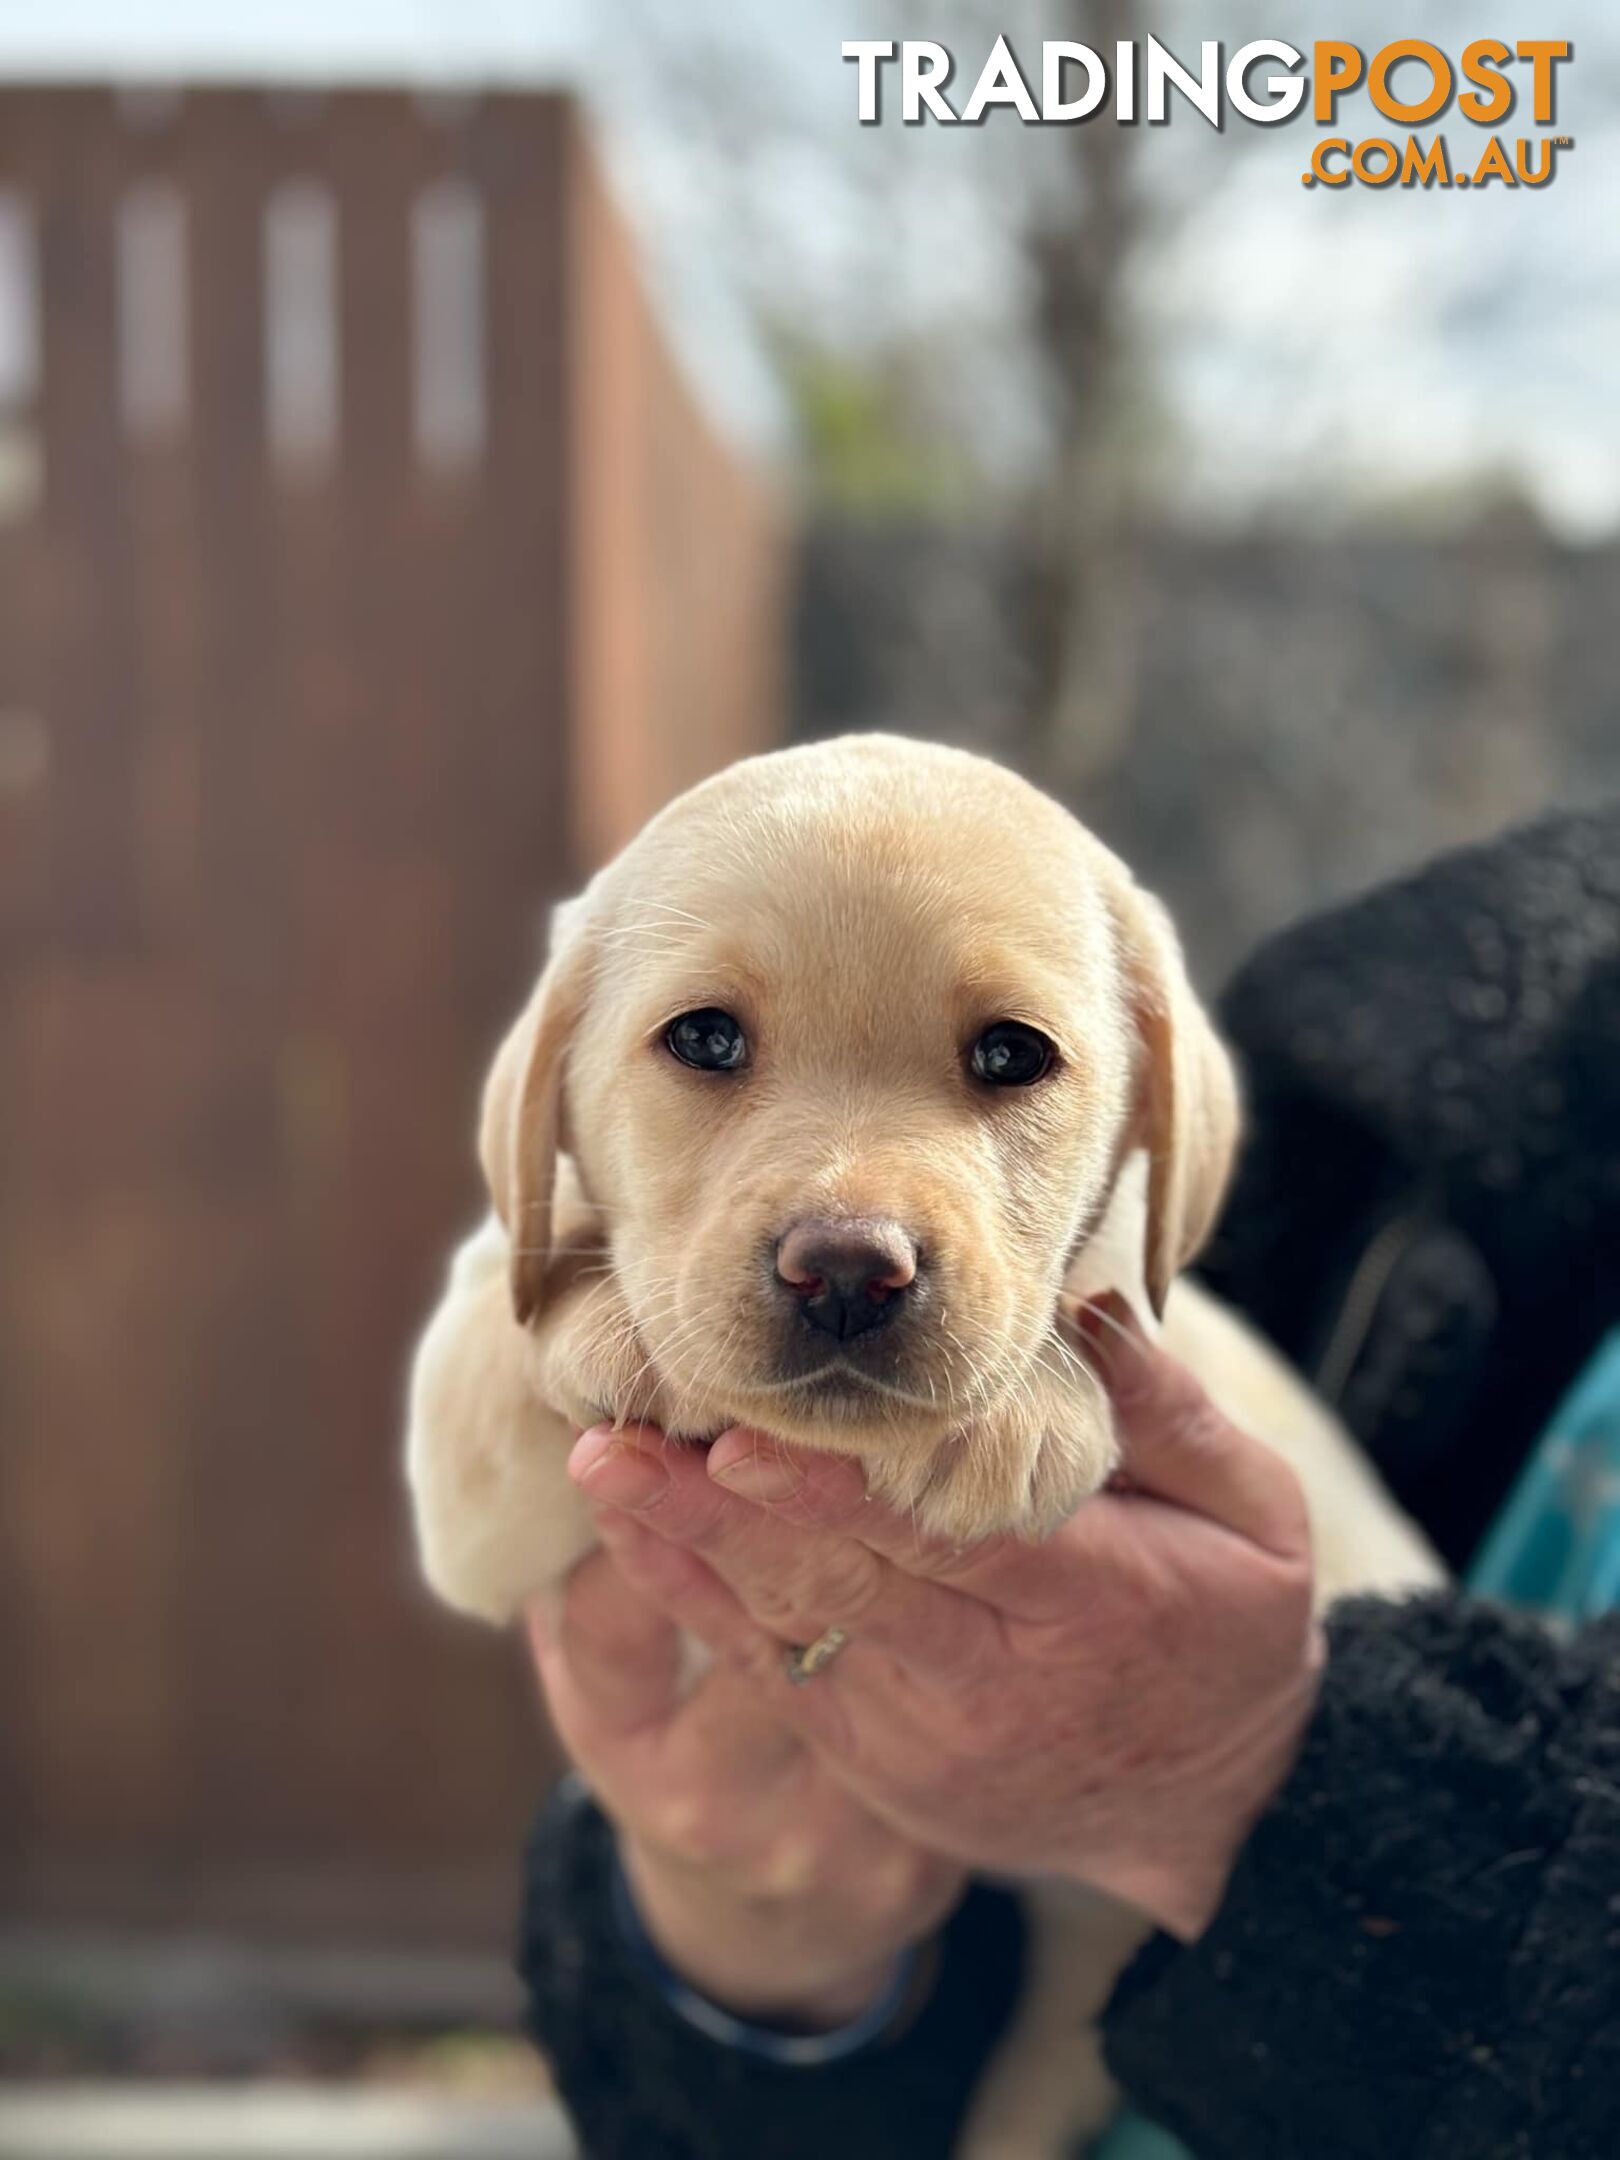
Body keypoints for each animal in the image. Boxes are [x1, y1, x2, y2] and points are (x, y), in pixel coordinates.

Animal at [408, 734, 1442, 2151]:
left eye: (1012, 1056)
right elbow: (505, 1317)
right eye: (705, 1039)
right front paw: (616, 1324)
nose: (848, 1271)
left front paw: (1015, 1414)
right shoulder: (467, 1475)